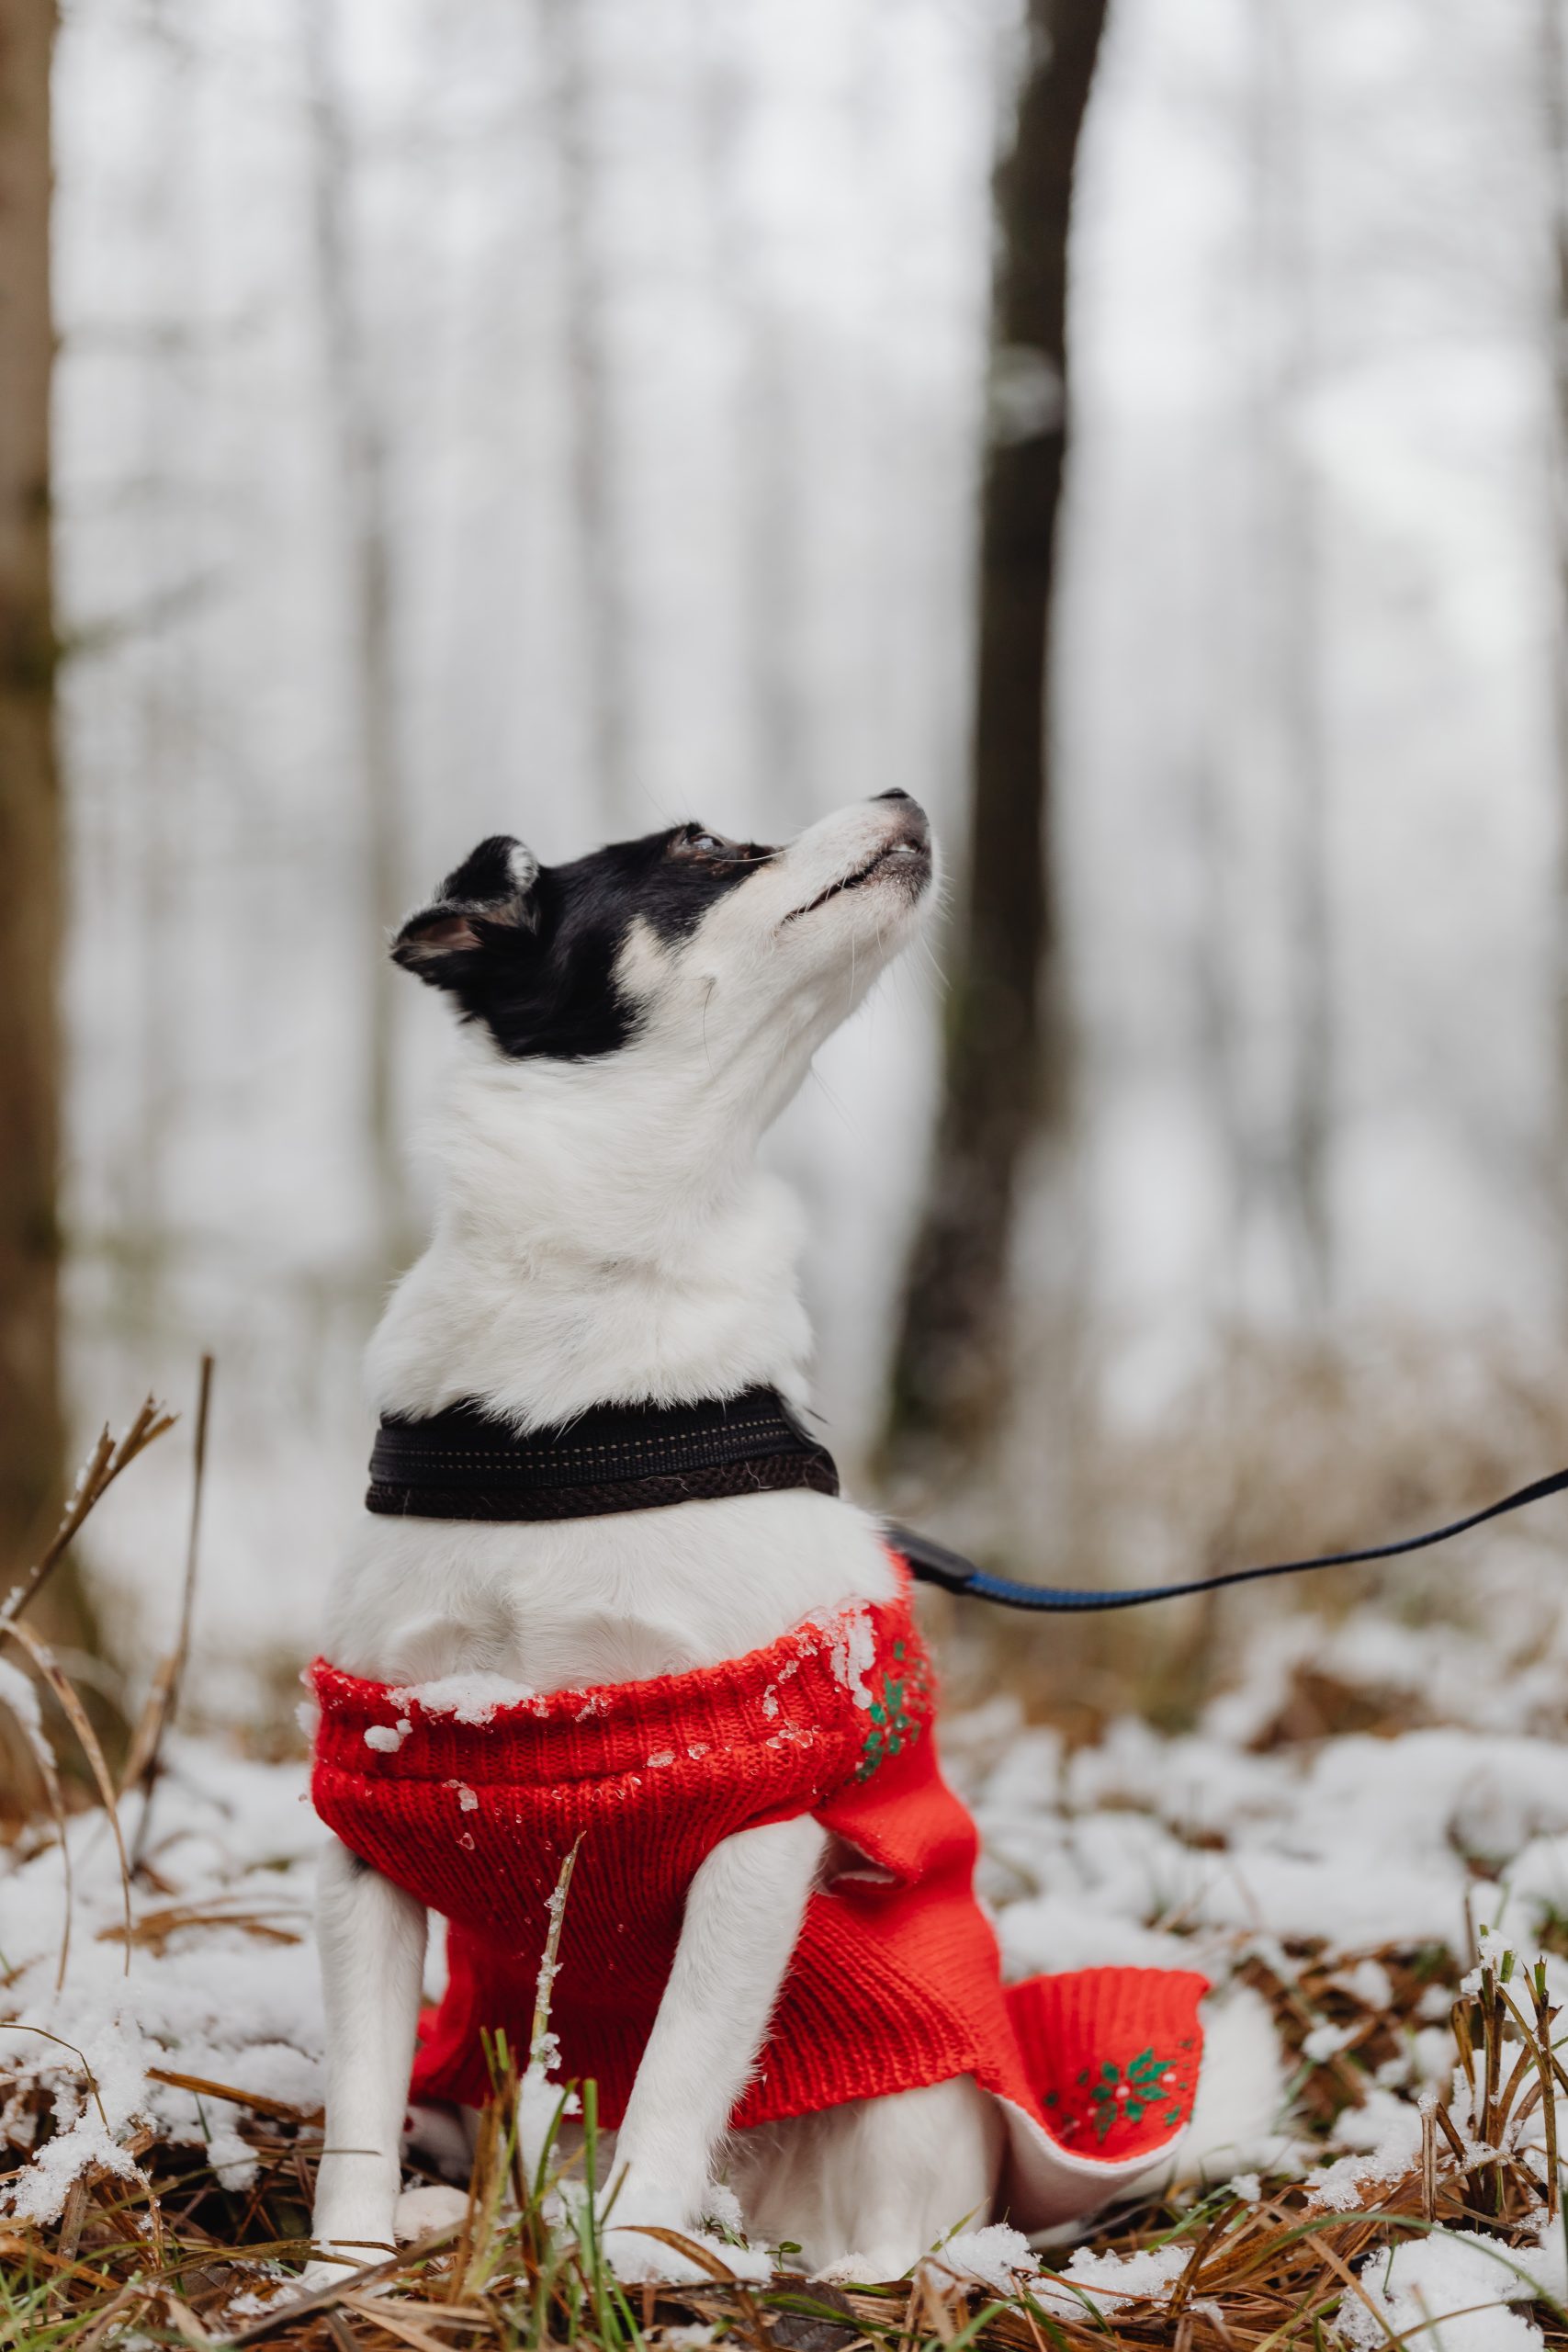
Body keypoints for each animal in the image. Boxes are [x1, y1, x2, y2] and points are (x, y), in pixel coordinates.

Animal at [305, 799, 1213, 2286]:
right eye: (698, 844)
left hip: (910, 2096)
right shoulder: (369, 1829)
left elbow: (679, 2070)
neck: (581, 1385)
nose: (905, 799)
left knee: (896, 2214)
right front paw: (341, 2270)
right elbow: (359, 2101)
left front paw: (634, 2255)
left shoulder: (754, 1825)